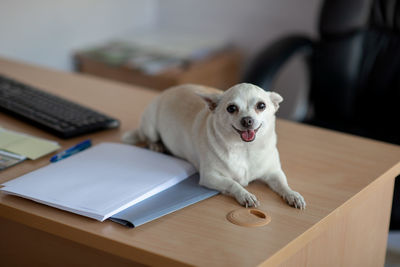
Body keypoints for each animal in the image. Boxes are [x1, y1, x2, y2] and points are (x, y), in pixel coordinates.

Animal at [123, 84, 304, 209]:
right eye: (231, 108)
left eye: (261, 106)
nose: (247, 120)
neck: (244, 149)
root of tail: (167, 91)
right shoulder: (210, 177)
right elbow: (233, 183)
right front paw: (245, 194)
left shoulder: (274, 173)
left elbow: (283, 184)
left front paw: (293, 195)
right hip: (150, 127)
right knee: (149, 137)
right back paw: (156, 146)